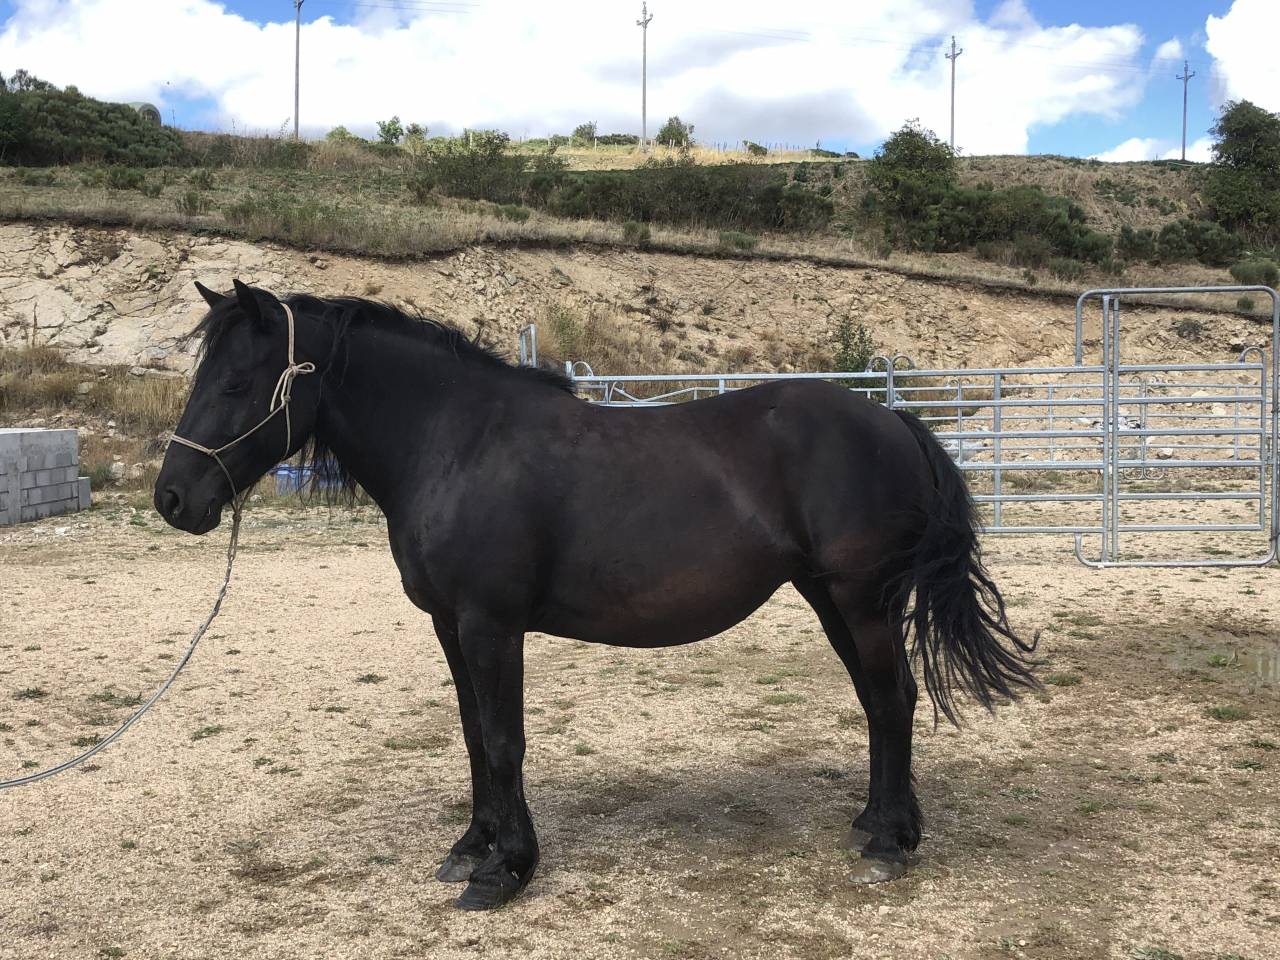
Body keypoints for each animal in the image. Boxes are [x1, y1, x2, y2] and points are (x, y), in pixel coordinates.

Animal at [155, 279, 1038, 910]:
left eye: (237, 383)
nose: (173, 499)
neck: (455, 444)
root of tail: (894, 420)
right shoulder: (449, 627)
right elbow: (472, 738)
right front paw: (471, 847)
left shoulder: (491, 626)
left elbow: (504, 740)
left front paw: (505, 871)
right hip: (829, 598)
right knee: (879, 704)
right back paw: (876, 824)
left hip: (860, 599)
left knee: (892, 699)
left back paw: (889, 844)